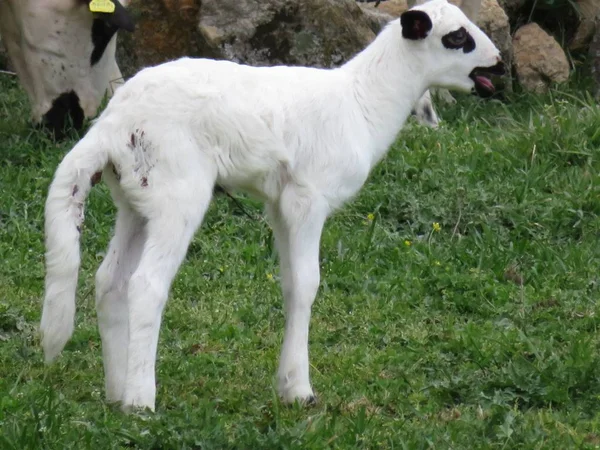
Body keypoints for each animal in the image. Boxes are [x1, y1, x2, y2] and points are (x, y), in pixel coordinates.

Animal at [39, 0, 504, 412]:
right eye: (457, 37)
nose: (498, 64)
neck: (362, 101)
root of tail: (111, 124)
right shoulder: (308, 198)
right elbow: (308, 283)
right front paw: (300, 391)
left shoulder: (281, 204)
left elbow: (290, 284)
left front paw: (287, 384)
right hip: (177, 194)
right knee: (146, 285)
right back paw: (139, 401)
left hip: (137, 197)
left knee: (109, 282)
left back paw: (116, 392)